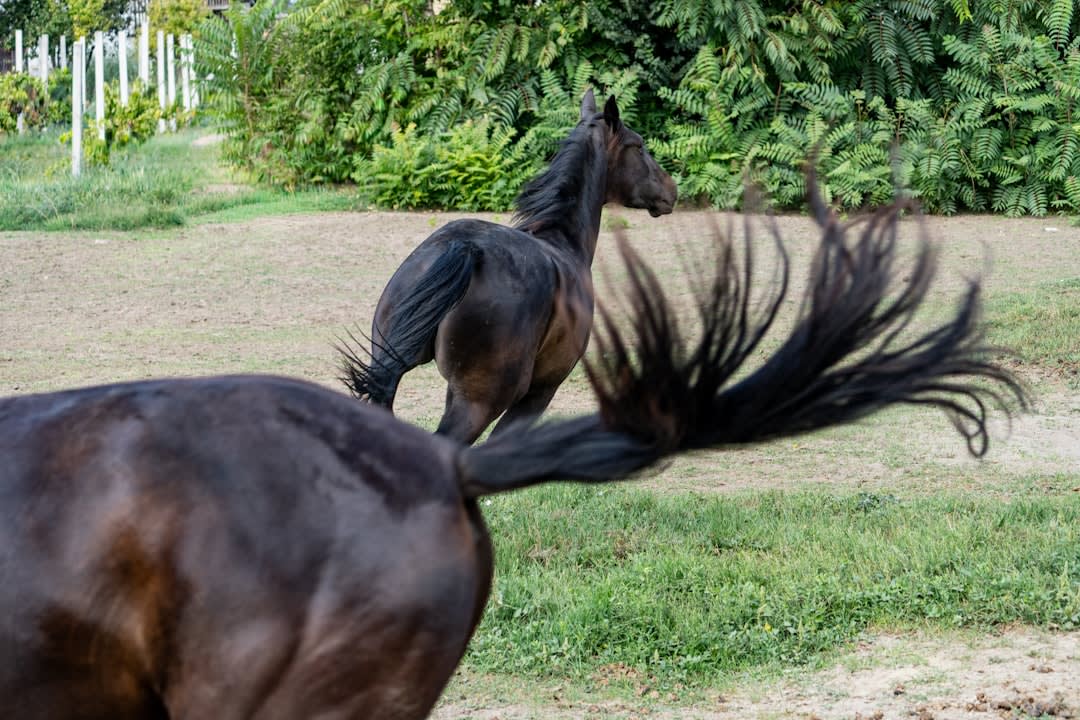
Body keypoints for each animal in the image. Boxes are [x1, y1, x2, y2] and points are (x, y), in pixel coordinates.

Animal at [338, 89, 679, 444]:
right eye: (639, 146)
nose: (671, 189)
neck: (563, 240)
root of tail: (466, 249)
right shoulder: (541, 391)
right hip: (479, 403)